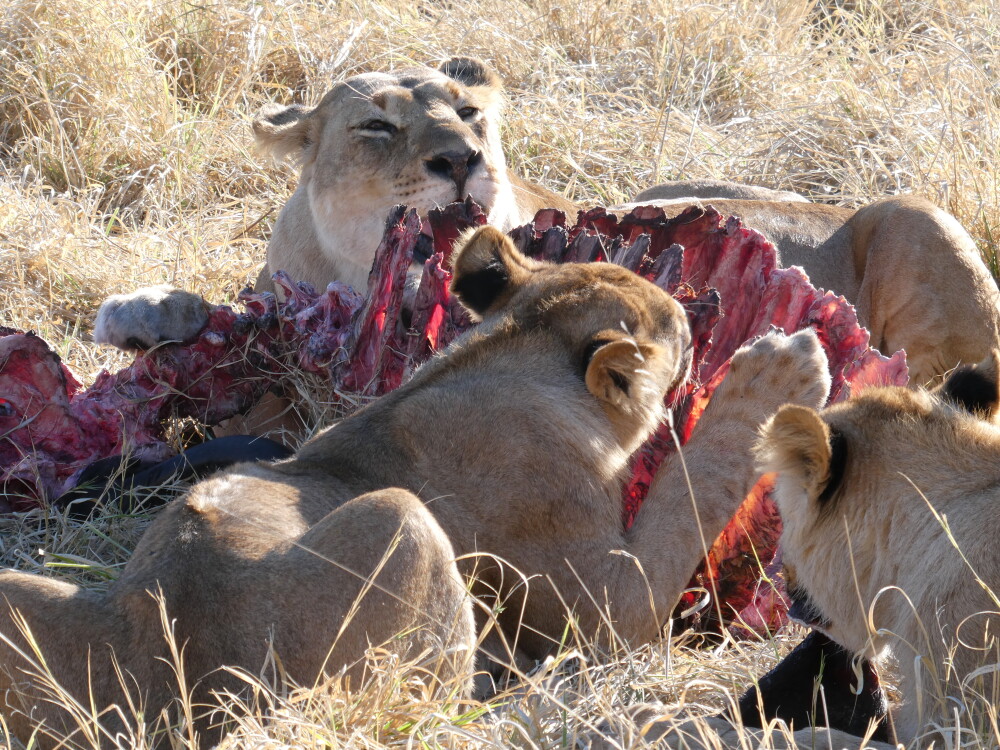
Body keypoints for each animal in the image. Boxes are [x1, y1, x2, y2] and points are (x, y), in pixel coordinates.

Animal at [0, 227, 831, 746]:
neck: (514, 349)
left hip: (36, 608)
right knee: (428, 714)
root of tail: (196, 696)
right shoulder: (604, 607)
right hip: (403, 524)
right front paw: (777, 377)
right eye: (683, 335)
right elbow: (690, 488)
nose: (692, 317)